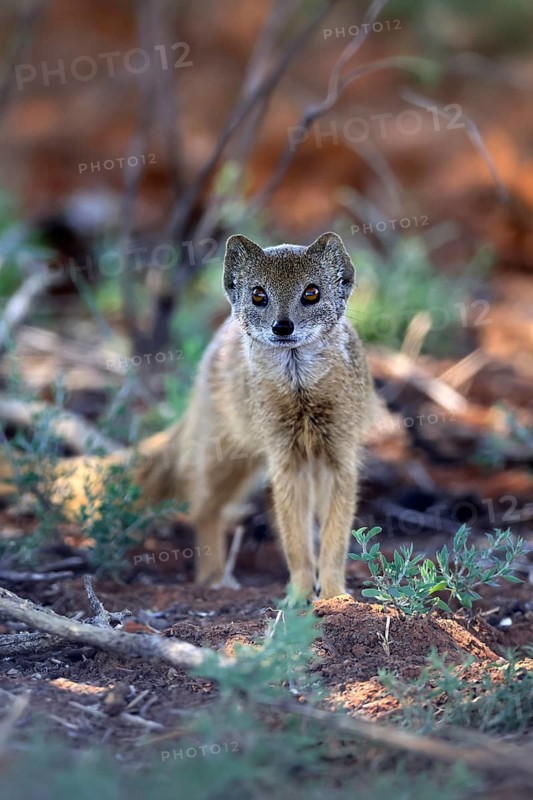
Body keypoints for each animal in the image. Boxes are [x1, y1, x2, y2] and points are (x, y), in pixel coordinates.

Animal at [1, 232, 374, 600]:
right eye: (259, 295)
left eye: (312, 292)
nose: (282, 326)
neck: (302, 399)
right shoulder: (284, 457)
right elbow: (294, 538)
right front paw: (298, 596)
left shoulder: (340, 452)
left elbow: (336, 536)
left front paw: (335, 595)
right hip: (224, 455)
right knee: (202, 509)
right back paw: (214, 578)